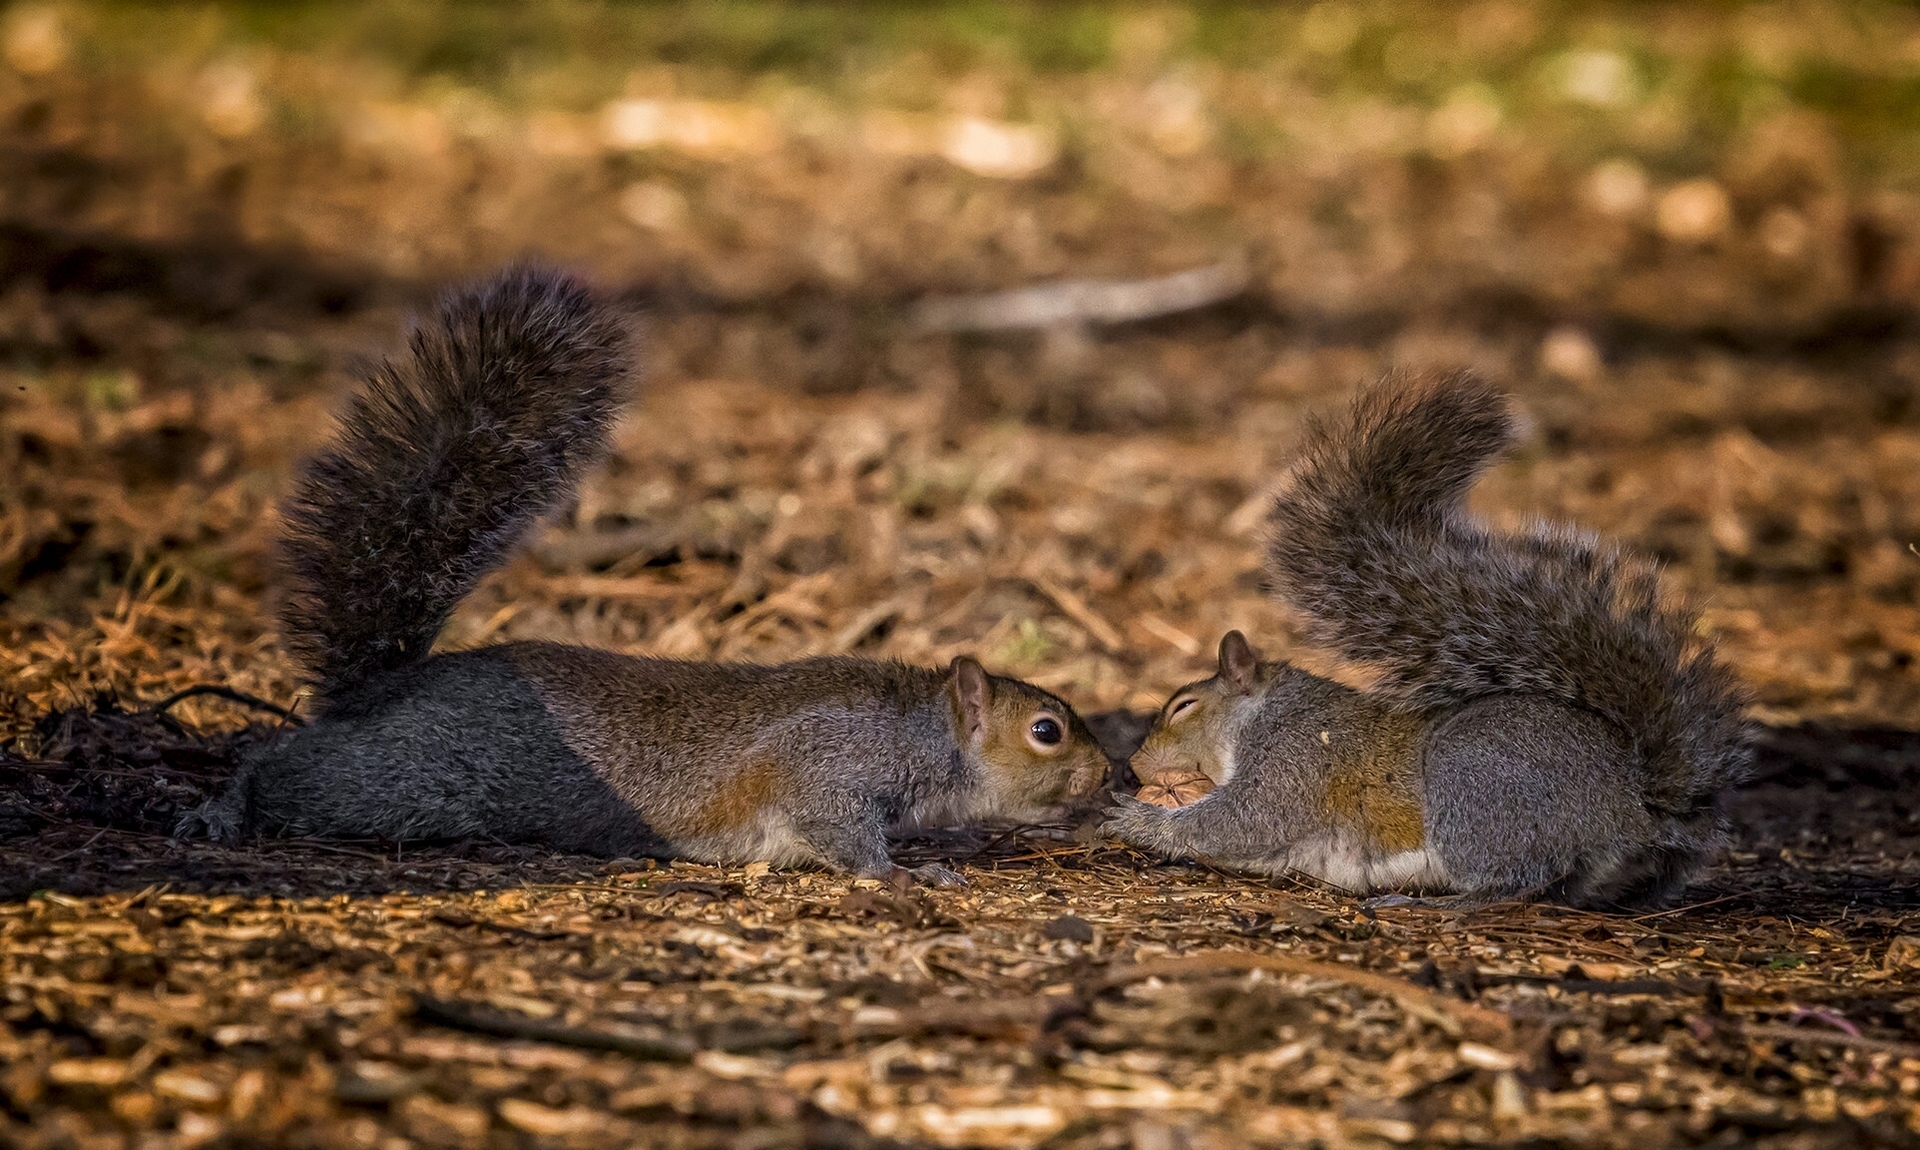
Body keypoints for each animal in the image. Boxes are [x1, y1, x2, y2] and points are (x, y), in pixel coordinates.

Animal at [183, 264, 1113, 886]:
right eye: (1047, 730)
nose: (1117, 778)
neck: (920, 733)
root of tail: (385, 689)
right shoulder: (829, 774)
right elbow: (847, 839)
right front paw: (907, 876)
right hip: (402, 781)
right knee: (286, 764)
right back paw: (222, 808)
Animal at [1105, 376, 1751, 910]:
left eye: (1183, 706)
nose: (1132, 768)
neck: (1262, 714)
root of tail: (1633, 805)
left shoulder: (1293, 762)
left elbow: (1238, 821)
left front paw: (1137, 820)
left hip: (1472, 783)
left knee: (1515, 882)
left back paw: (1437, 903)